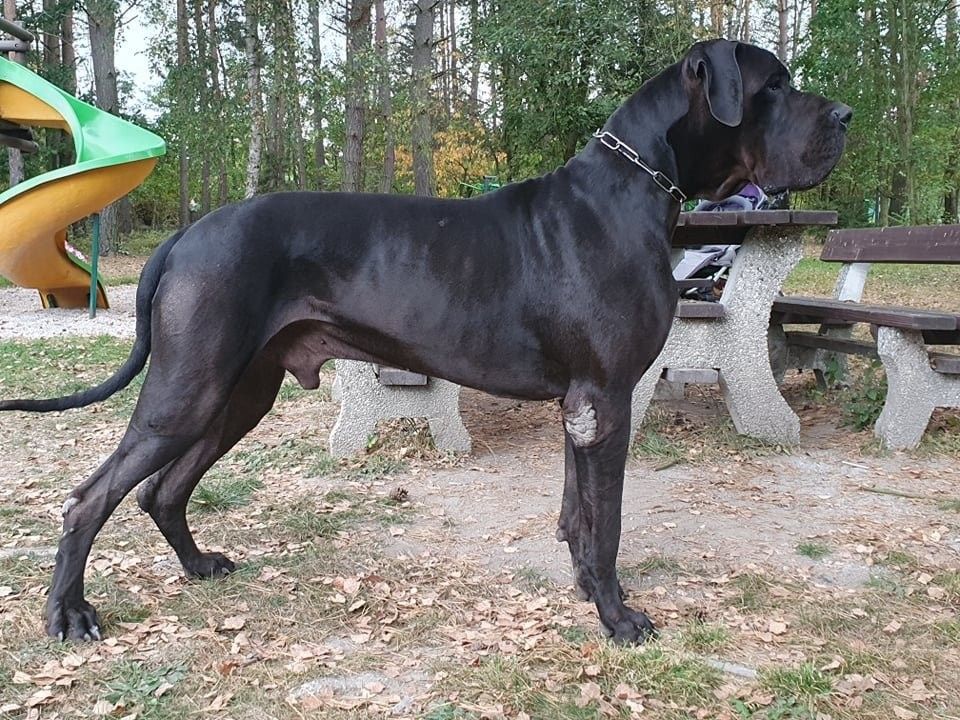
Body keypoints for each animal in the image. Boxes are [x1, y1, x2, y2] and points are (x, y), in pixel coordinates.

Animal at [0, 39, 849, 643]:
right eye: (774, 85)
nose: (843, 116)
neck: (639, 186)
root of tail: (187, 235)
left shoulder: (580, 404)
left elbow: (577, 512)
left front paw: (583, 587)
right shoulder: (606, 397)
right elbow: (605, 522)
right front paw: (617, 616)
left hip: (239, 393)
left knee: (161, 490)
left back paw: (198, 566)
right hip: (190, 387)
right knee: (90, 498)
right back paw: (70, 614)